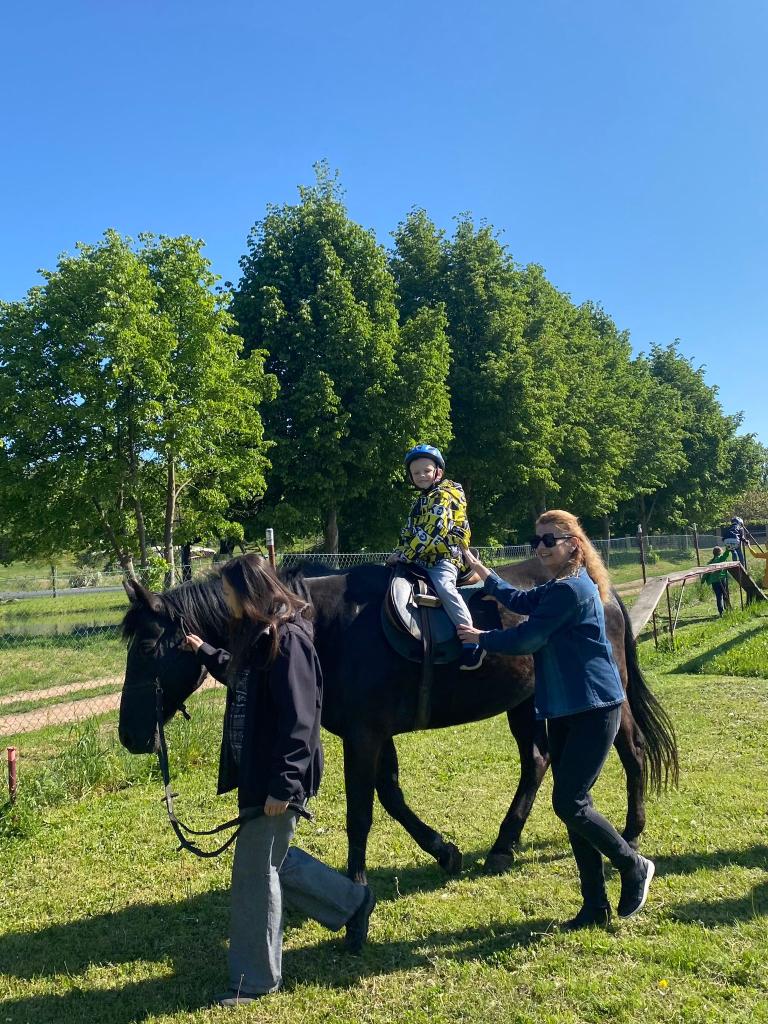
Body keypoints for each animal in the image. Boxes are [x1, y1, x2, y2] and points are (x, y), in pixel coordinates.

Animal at [118, 559, 678, 883]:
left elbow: (362, 810)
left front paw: (357, 882)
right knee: (537, 761)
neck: (324, 624)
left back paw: (631, 831)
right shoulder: (373, 732)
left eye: (146, 648)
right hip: (525, 703)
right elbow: (389, 794)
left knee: (629, 749)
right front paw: (444, 852)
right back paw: (504, 846)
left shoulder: (364, 734)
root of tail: (599, 589)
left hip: (606, 695)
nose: (129, 735)